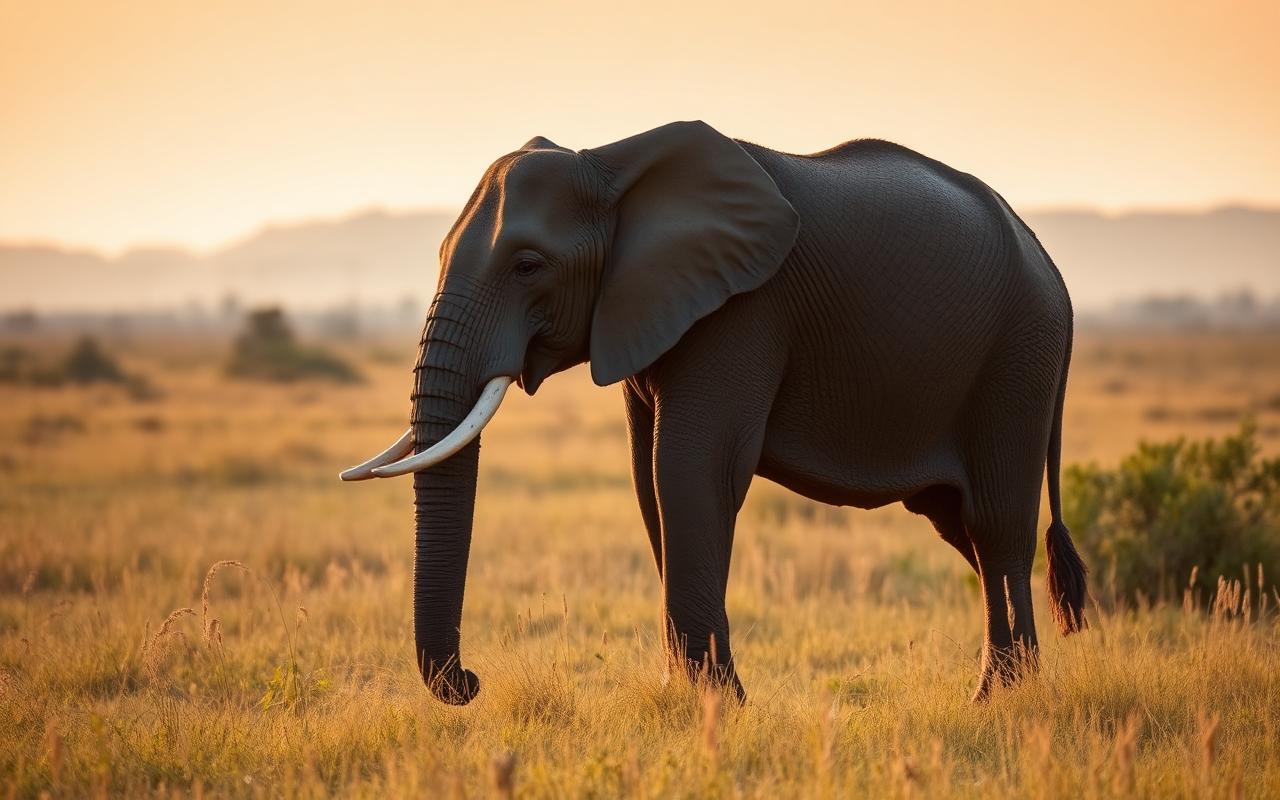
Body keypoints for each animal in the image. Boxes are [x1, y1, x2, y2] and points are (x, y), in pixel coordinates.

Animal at [340, 120, 1088, 705]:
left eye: (528, 265)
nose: (472, 682)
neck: (611, 164)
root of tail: (1053, 267)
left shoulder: (741, 311)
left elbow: (688, 472)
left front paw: (719, 706)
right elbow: (648, 484)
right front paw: (691, 696)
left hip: (1018, 358)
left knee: (996, 526)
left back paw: (999, 701)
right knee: (963, 528)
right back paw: (1010, 691)